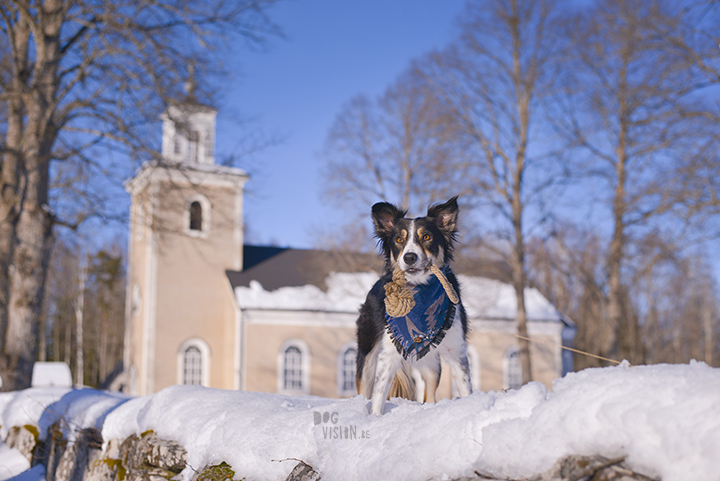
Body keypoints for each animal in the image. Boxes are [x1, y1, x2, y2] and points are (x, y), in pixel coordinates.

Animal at [356, 197, 472, 414]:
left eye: (426, 236)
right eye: (399, 240)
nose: (410, 257)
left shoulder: (456, 349)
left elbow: (465, 386)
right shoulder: (388, 353)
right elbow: (379, 392)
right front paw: (375, 416)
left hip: (432, 362)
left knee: (430, 392)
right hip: (367, 352)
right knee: (363, 388)